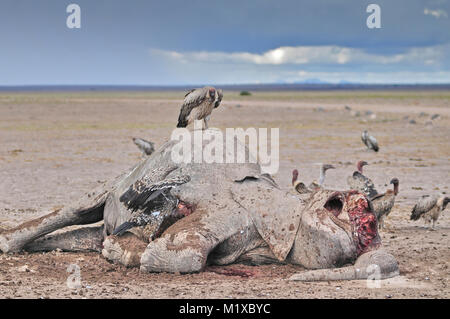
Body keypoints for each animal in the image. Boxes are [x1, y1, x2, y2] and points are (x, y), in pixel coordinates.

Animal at [0, 130, 400, 282]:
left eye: (370, 224)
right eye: (357, 209)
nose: (366, 208)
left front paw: (121, 249)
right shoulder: (228, 213)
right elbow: (183, 255)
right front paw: (130, 252)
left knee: (85, 234)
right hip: (120, 180)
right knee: (78, 209)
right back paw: (10, 242)